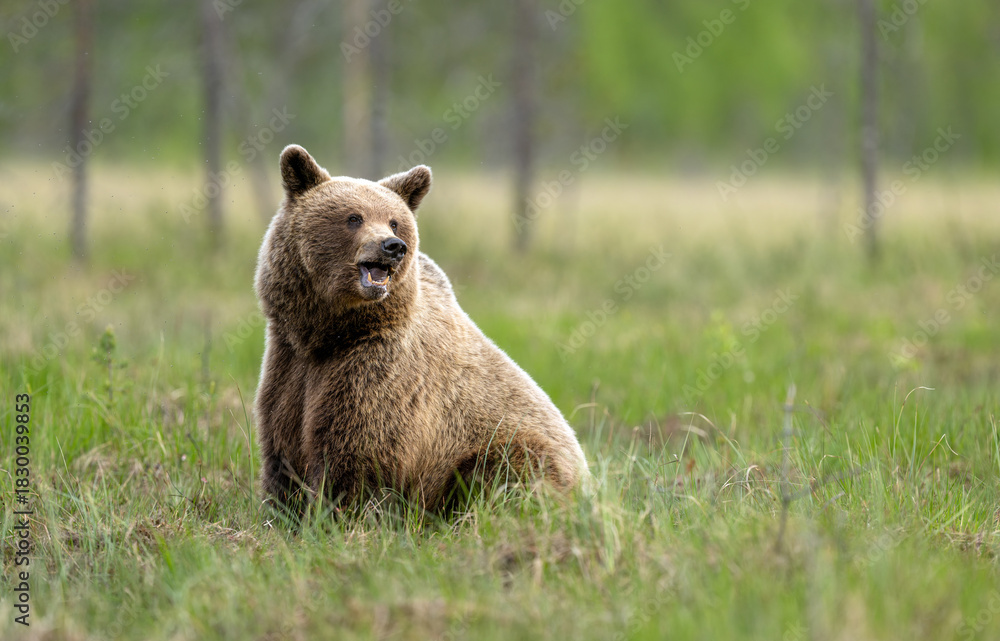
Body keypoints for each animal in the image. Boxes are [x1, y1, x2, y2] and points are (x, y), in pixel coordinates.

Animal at [253, 145, 588, 513]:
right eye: (353, 217)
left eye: (394, 220)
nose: (393, 245)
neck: (330, 333)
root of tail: (587, 484)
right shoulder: (290, 365)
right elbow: (281, 443)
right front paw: (281, 508)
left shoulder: (377, 371)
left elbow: (355, 450)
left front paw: (336, 511)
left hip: (507, 447)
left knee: (504, 471)